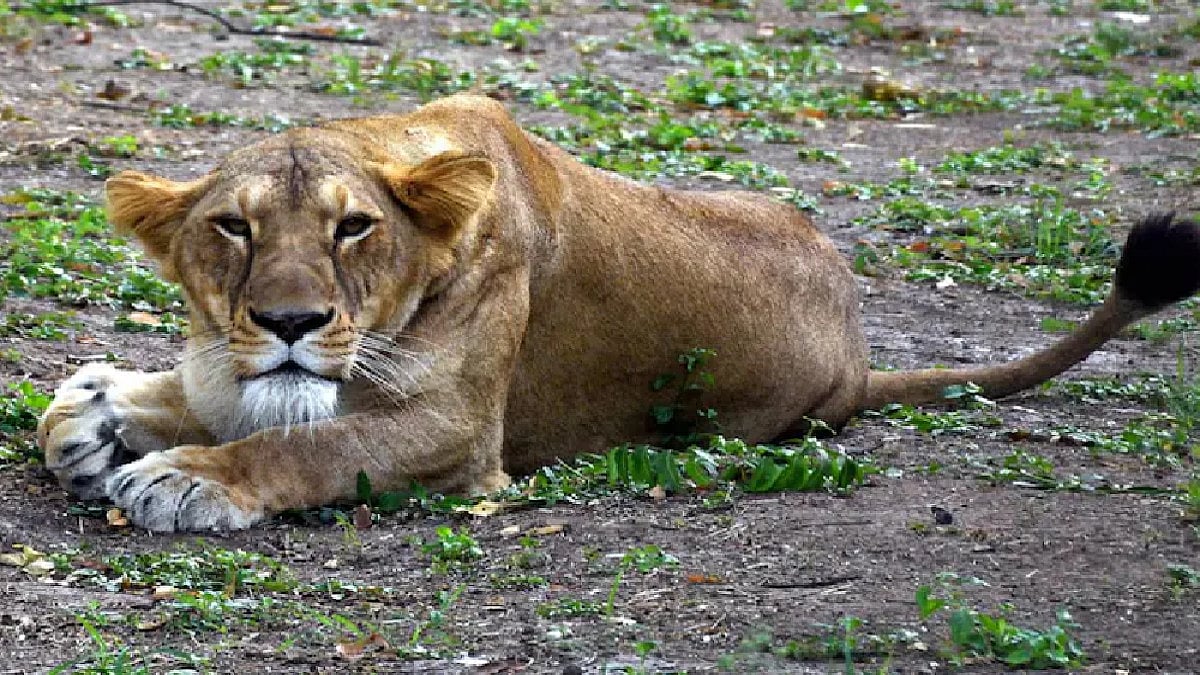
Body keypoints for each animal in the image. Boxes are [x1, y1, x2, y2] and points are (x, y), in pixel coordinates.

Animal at [35, 94, 1200, 532]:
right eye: (232, 227)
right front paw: (98, 413)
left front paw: (183, 476)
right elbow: (186, 394)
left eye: (354, 227)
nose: (288, 321)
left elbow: (302, 446)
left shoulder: (460, 438)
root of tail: (862, 353)